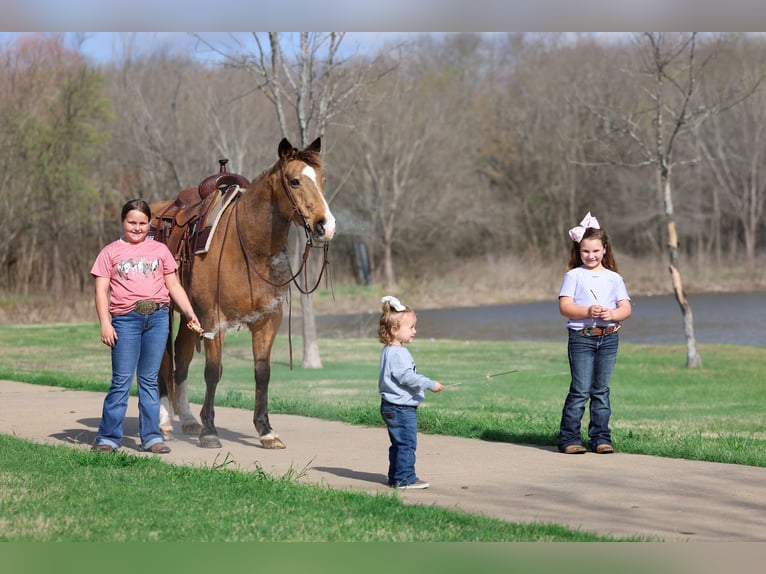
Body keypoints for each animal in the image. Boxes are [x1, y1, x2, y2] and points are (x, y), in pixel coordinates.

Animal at [151, 137, 335, 449]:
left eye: (322, 180)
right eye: (294, 181)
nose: (326, 226)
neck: (248, 247)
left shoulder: (267, 321)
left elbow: (262, 373)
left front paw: (266, 430)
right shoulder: (214, 321)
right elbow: (213, 372)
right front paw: (209, 431)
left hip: (190, 316)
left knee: (182, 358)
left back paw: (187, 419)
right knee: (163, 360)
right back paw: (164, 423)